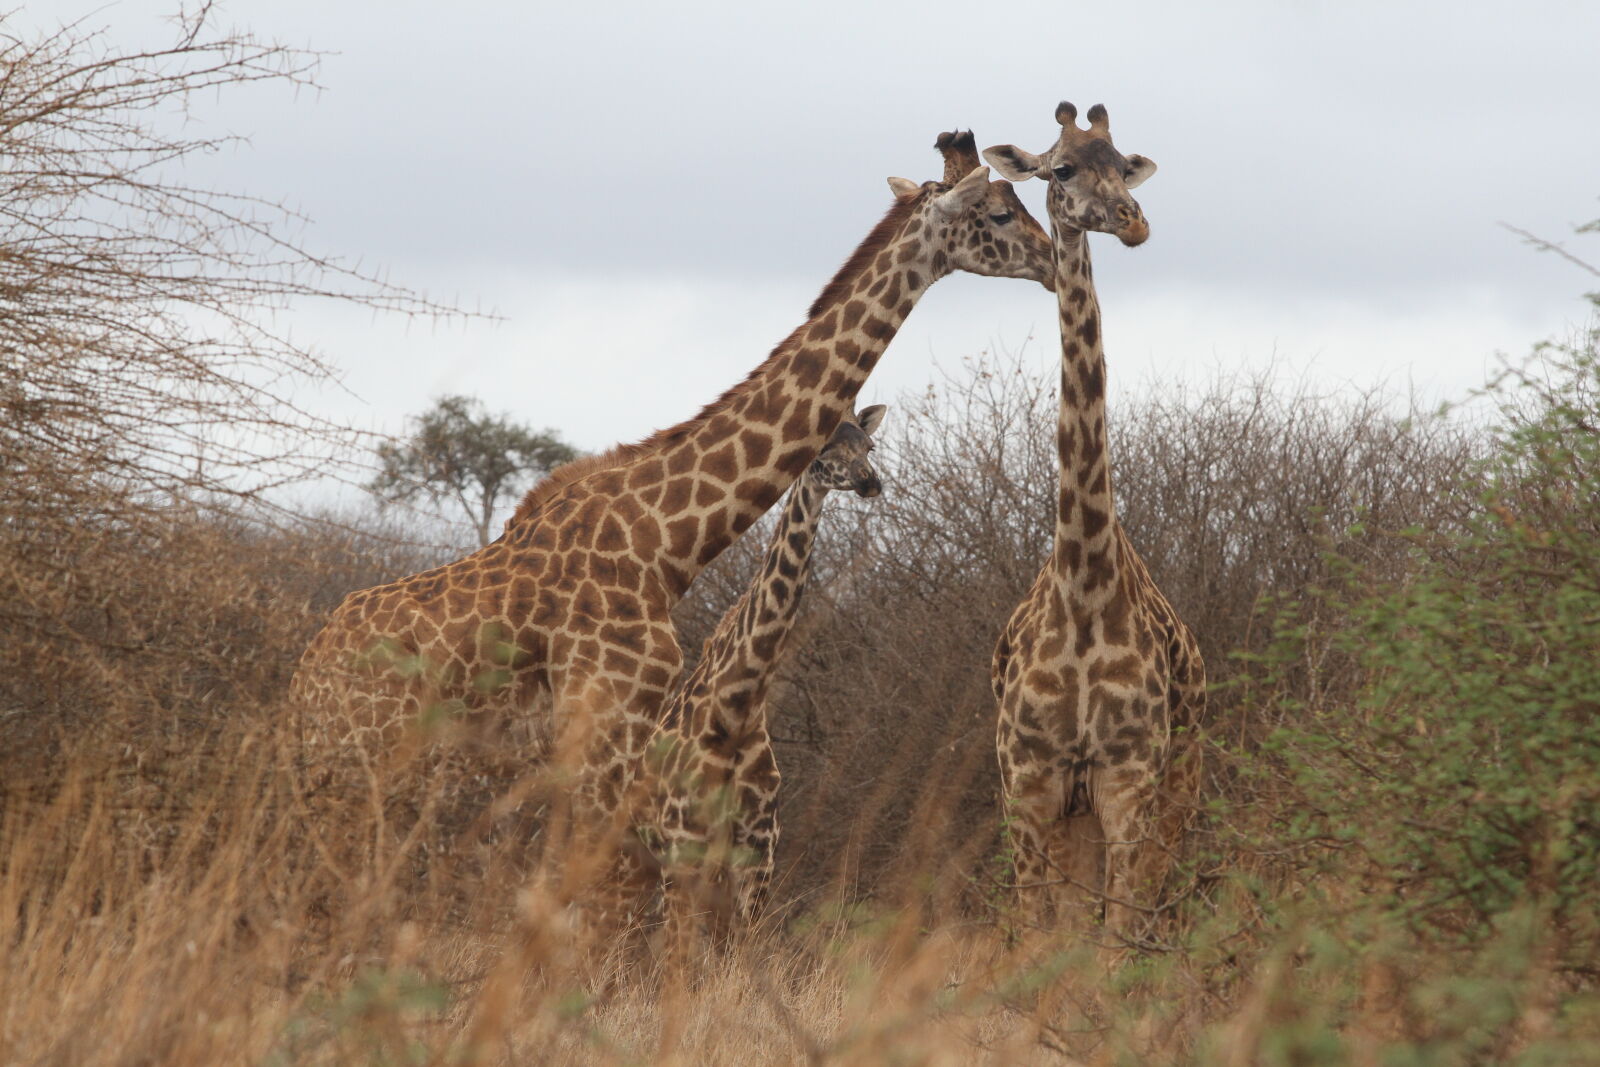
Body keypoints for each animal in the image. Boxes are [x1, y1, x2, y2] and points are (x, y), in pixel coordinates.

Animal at [636, 404, 889, 940]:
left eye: (869, 446)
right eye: (821, 446)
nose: (869, 482)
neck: (738, 707)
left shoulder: (758, 851)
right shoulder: (684, 845)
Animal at [979, 99, 1203, 934]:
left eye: (1123, 163)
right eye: (1064, 168)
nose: (1134, 222)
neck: (1082, 588)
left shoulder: (1129, 778)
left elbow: (1115, 938)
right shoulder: (1029, 779)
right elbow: (1039, 941)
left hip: (1181, 782)